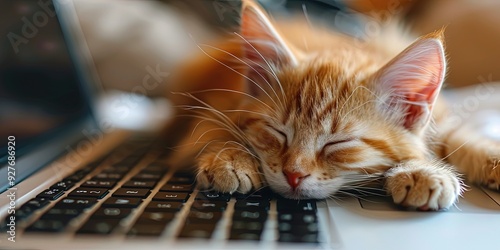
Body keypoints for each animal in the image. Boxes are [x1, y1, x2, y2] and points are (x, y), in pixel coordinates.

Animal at [166, 0, 498, 211]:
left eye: (337, 143)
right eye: (278, 133)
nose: (293, 175)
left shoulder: (441, 119)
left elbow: (457, 136)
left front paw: (426, 167)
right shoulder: (214, 107)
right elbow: (211, 129)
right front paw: (230, 159)